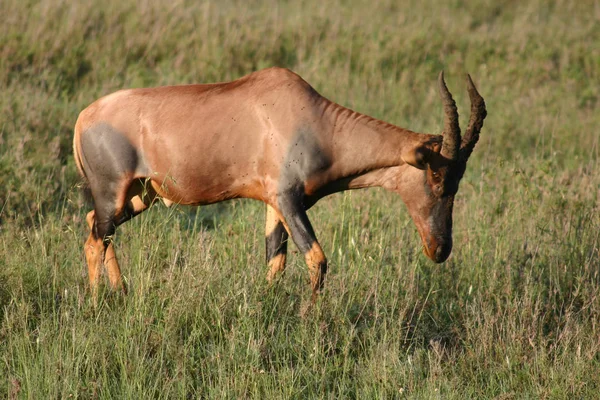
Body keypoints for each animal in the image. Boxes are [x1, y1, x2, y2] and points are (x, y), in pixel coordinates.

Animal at [74, 68, 488, 300]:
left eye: (458, 178)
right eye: (436, 176)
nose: (440, 249)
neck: (313, 119)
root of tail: (83, 117)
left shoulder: (275, 204)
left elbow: (276, 262)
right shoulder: (288, 199)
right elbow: (316, 258)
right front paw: (311, 323)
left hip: (141, 196)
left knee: (96, 226)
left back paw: (122, 293)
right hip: (114, 191)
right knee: (95, 239)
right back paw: (96, 307)